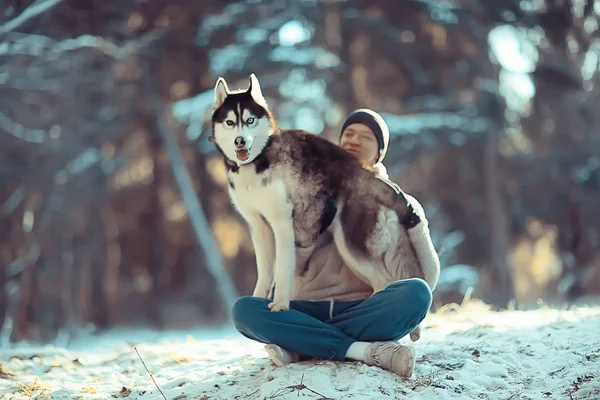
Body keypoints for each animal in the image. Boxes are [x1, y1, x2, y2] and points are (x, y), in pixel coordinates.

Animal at [211, 75, 440, 312]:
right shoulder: (258, 226)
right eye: (230, 122)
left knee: (384, 282)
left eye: (250, 121)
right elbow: (265, 274)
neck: (258, 161)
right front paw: (257, 299)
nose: (240, 141)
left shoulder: (282, 222)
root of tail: (371, 176)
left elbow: (282, 270)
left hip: (349, 241)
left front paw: (281, 304)